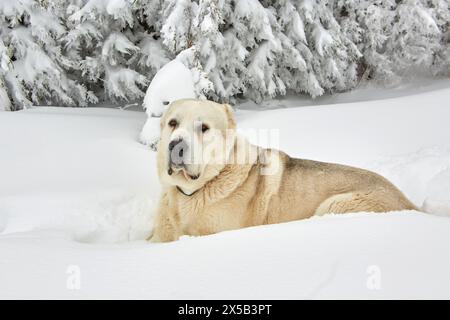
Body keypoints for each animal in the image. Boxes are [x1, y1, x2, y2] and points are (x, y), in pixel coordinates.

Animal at [149, 99, 416, 241]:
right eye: (172, 123)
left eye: (203, 128)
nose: (177, 145)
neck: (191, 192)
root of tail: (411, 204)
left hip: (335, 205)